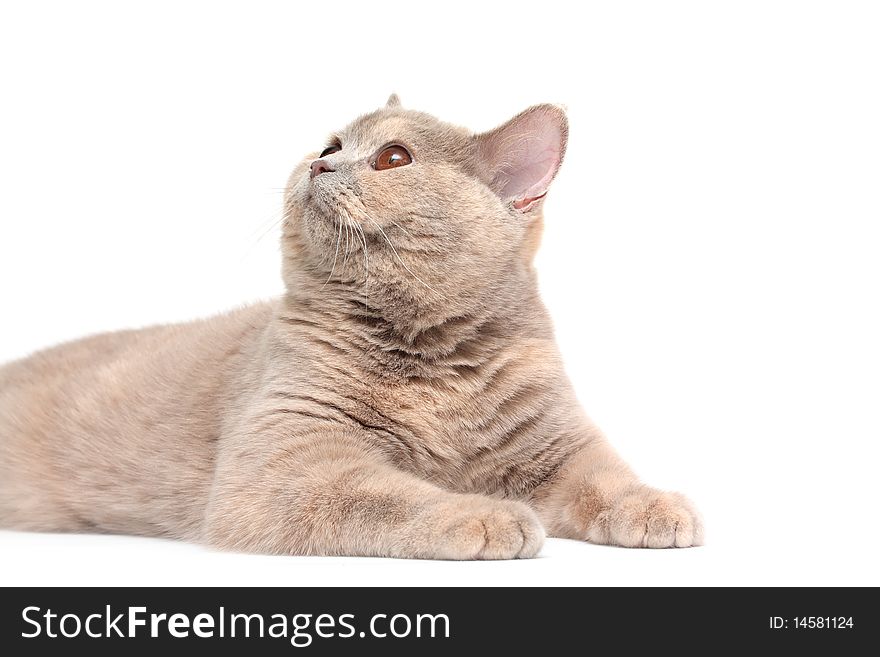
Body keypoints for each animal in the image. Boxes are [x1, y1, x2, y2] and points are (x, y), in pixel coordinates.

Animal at [0, 96, 700, 560]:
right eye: (331, 144)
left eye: (393, 157)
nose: (320, 165)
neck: (433, 358)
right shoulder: (287, 455)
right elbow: (387, 494)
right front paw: (486, 516)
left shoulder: (554, 441)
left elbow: (606, 476)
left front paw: (654, 505)